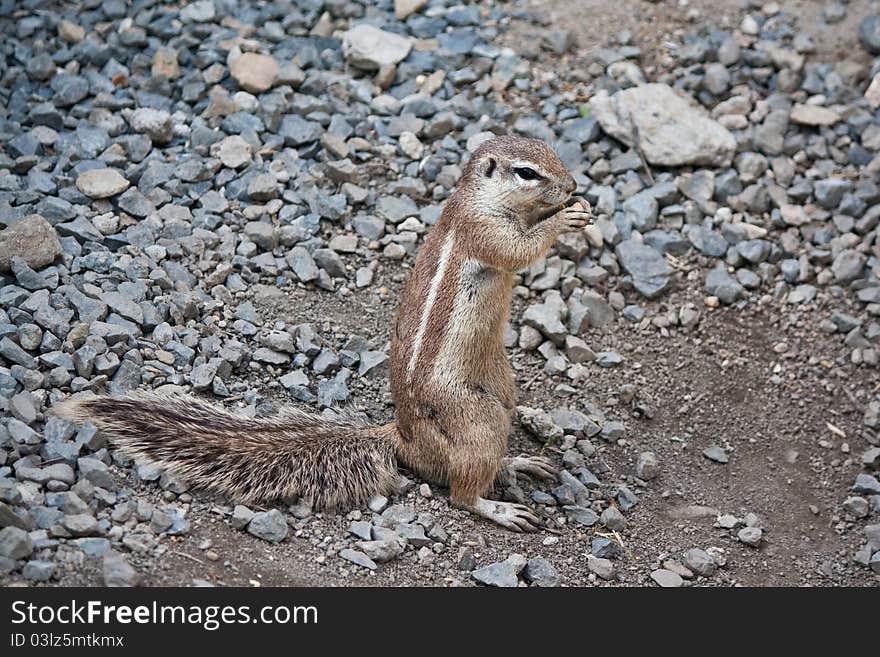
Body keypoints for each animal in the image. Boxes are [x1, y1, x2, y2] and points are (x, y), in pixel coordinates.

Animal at [55, 136, 592, 532]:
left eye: (552, 149)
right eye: (527, 172)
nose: (573, 184)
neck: (479, 198)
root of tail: (404, 439)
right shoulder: (482, 229)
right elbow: (517, 249)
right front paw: (566, 217)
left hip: (502, 391)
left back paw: (518, 465)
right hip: (474, 419)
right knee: (461, 492)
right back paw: (498, 506)